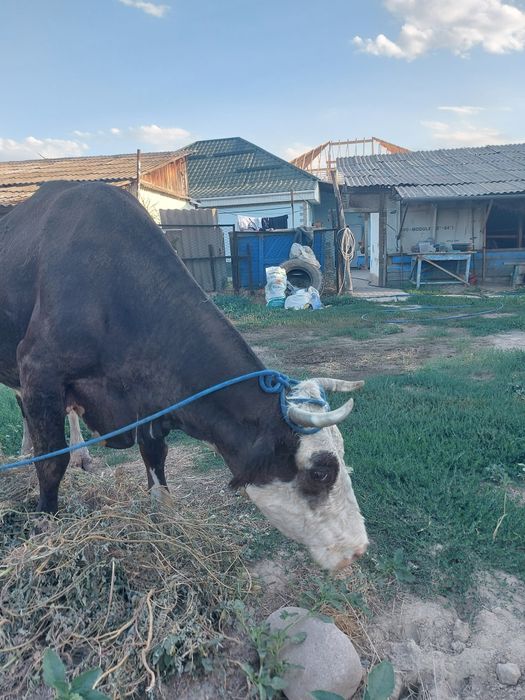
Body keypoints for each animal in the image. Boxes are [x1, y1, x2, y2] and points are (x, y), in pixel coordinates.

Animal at [0, 181, 368, 570]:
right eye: (320, 472)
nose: (359, 547)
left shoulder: (150, 399)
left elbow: (155, 459)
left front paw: (164, 523)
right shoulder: (38, 368)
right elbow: (52, 462)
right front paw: (45, 529)